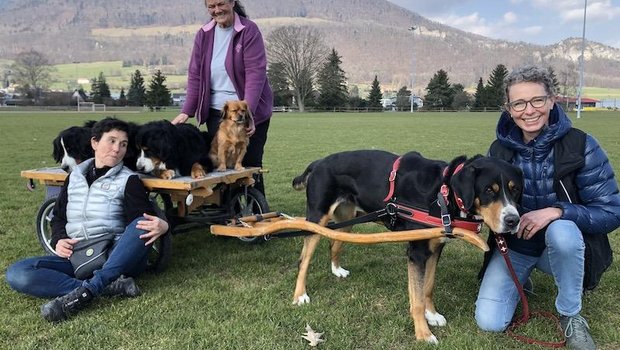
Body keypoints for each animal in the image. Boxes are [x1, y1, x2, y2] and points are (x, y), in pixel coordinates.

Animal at [292, 149, 524, 344]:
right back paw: (300, 295)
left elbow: (428, 287)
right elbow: (417, 299)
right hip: (316, 218)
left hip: (346, 219)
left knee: (334, 243)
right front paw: (424, 334)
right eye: (489, 190)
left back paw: (336, 269)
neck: (443, 193)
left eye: (515, 190)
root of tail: (318, 163)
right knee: (304, 260)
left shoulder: (435, 249)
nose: (513, 220)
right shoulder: (417, 253)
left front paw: (432, 315)